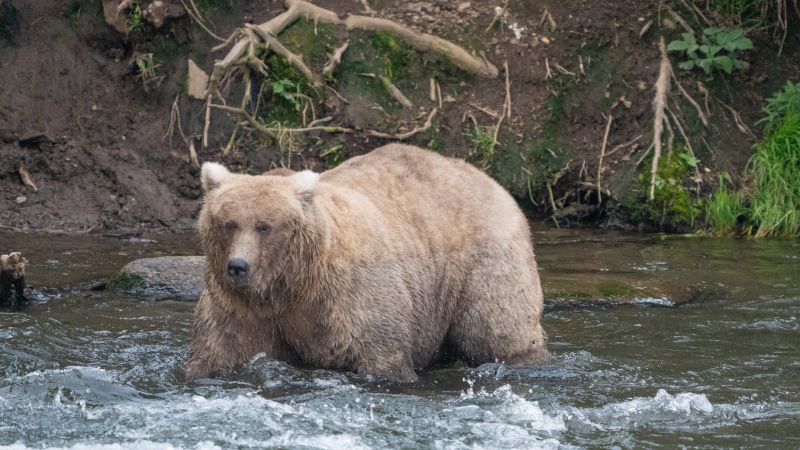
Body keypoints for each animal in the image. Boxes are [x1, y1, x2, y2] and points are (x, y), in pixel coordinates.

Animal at [187, 142, 552, 382]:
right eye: (228, 223)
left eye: (265, 226)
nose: (238, 266)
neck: (292, 286)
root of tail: (491, 180)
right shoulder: (242, 308)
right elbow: (221, 351)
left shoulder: (350, 297)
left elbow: (379, 353)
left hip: (482, 264)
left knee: (498, 330)